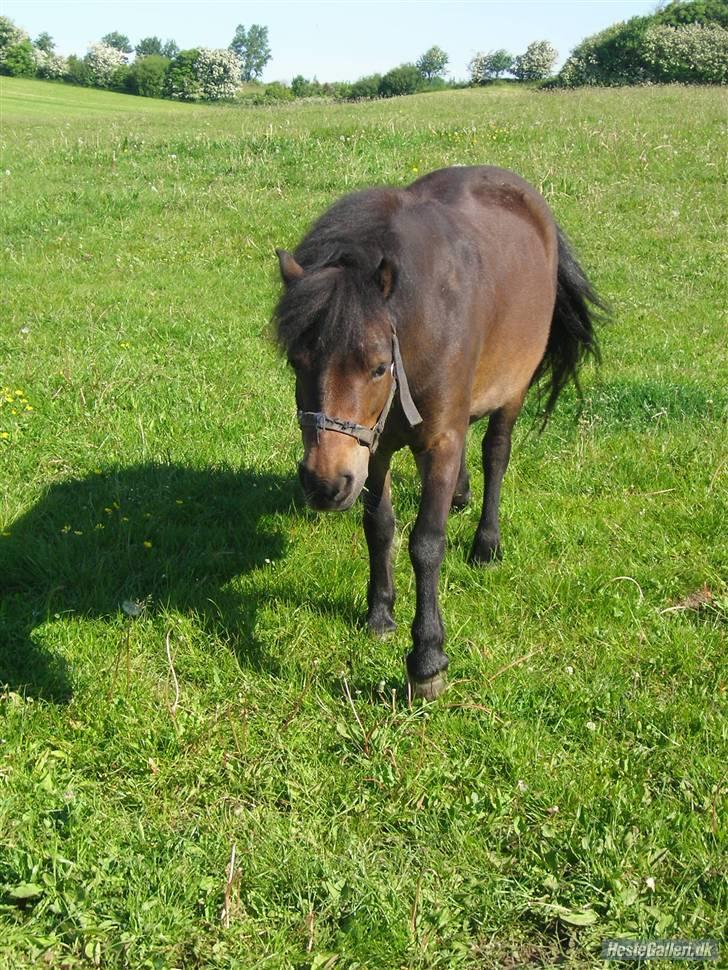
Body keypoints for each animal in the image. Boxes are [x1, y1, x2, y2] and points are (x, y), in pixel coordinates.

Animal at [274, 165, 603, 700]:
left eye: (378, 366)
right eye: (295, 362)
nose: (324, 483)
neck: (421, 322)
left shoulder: (437, 443)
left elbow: (426, 543)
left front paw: (427, 659)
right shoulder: (375, 448)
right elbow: (380, 526)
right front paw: (380, 612)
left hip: (512, 392)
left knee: (495, 452)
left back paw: (486, 543)